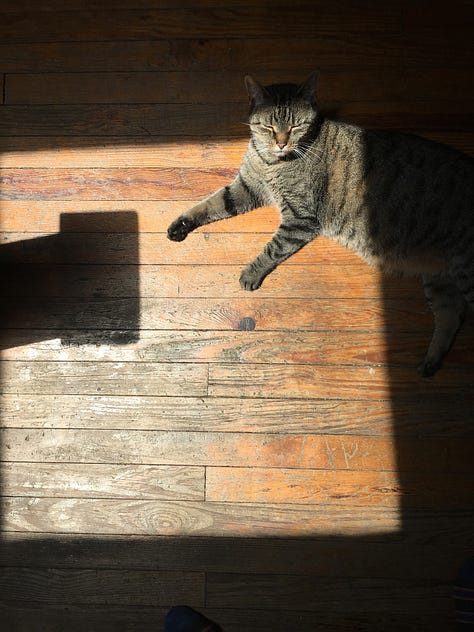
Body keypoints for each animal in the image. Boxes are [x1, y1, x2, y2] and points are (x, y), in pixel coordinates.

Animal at [168, 71, 472, 376]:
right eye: (268, 126)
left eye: (296, 126)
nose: (281, 142)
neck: (271, 161)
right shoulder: (246, 187)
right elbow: (212, 203)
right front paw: (181, 224)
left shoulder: (300, 218)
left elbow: (272, 248)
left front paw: (251, 273)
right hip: (438, 279)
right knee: (452, 316)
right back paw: (431, 361)